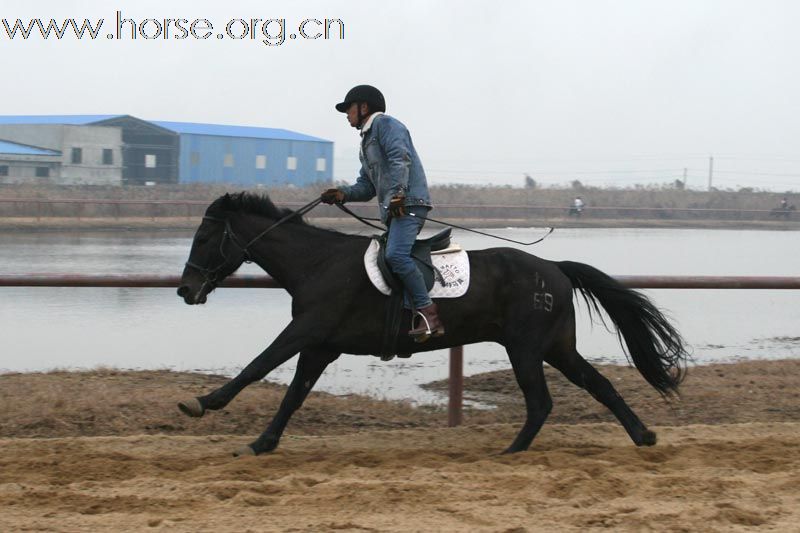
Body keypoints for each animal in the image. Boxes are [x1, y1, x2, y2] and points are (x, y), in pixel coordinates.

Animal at [177, 193, 688, 456]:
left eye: (203, 238)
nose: (185, 290)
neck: (317, 264)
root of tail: (555, 269)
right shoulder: (321, 345)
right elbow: (294, 393)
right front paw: (263, 442)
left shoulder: (306, 332)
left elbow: (258, 366)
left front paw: (202, 402)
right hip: (556, 347)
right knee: (599, 385)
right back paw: (643, 436)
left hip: (526, 348)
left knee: (541, 402)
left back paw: (511, 451)